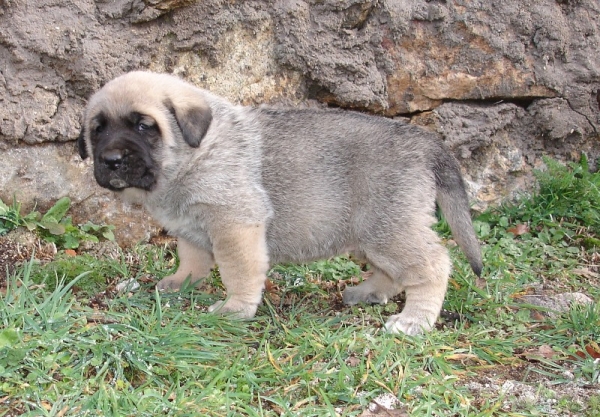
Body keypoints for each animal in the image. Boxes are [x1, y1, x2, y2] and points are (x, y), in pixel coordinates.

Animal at [79, 70, 482, 334]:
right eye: (97, 130)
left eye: (144, 126)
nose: (111, 160)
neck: (192, 156)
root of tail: (424, 141)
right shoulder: (192, 228)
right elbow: (192, 258)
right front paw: (181, 283)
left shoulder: (235, 224)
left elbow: (238, 270)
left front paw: (235, 308)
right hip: (372, 234)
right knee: (395, 271)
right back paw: (370, 292)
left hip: (388, 226)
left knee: (434, 264)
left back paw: (416, 319)